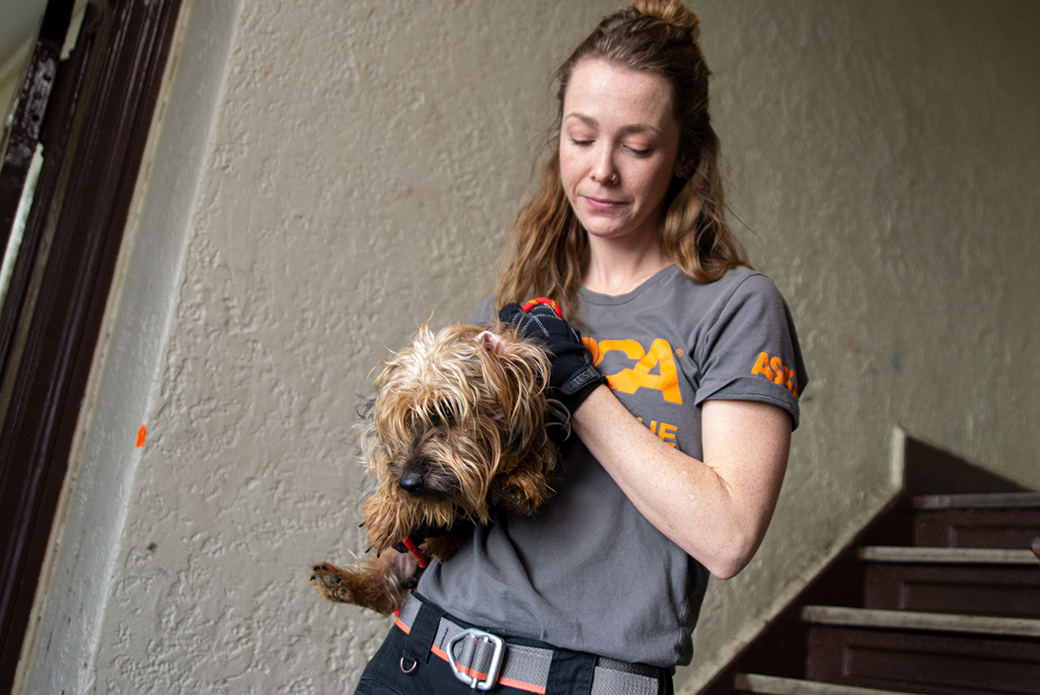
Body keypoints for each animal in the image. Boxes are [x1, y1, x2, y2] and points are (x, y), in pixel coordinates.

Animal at [307, 320, 561, 611]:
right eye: (404, 421)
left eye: (447, 410)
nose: (408, 483)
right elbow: (384, 464)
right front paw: (388, 509)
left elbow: (537, 451)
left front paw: (521, 478)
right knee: (386, 584)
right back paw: (337, 581)